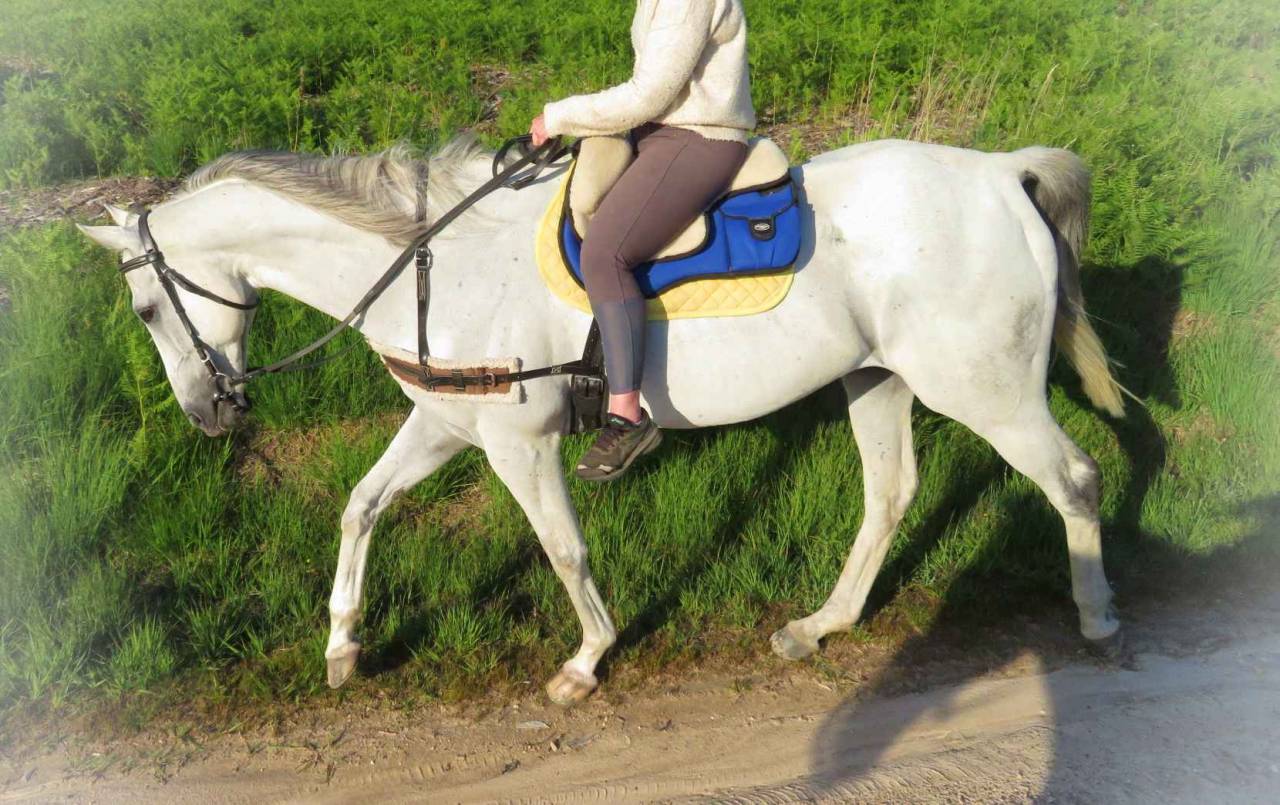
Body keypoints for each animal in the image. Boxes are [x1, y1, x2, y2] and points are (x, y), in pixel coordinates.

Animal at [78, 133, 1126, 705]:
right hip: (879, 381)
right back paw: (819, 625)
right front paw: (341, 644)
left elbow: (563, 548)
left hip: (984, 387)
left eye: (144, 309)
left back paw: (1098, 618)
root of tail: (1000, 176)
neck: (430, 268)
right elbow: (361, 506)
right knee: (891, 495)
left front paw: (586, 659)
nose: (207, 414)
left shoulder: (519, 443)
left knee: (1073, 479)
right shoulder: (448, 427)